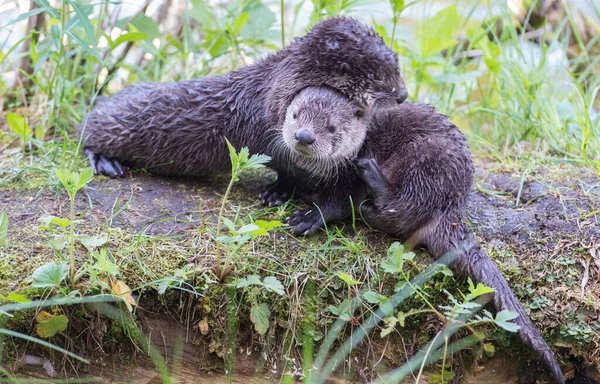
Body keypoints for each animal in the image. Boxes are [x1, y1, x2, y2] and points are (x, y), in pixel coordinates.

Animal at [79, 17, 408, 234]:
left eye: (398, 66)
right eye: (381, 80)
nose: (404, 95)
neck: (275, 90)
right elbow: (289, 169)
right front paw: (282, 194)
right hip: (109, 122)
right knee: (85, 131)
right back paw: (105, 161)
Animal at [278, 87, 564, 384]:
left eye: (332, 127)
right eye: (295, 115)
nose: (304, 136)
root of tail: (454, 204)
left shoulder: (346, 177)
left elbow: (339, 202)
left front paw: (310, 217)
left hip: (427, 157)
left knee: (401, 209)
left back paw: (371, 182)